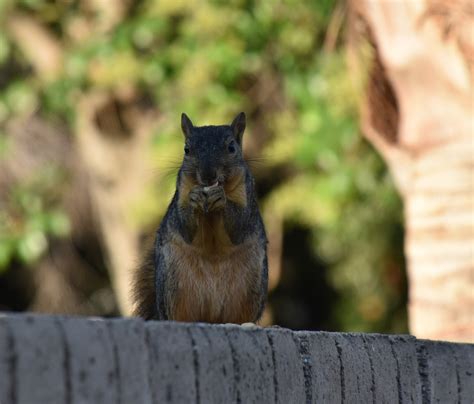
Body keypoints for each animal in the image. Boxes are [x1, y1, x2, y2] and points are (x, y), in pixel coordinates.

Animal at [131, 111, 268, 322]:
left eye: (231, 147)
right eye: (186, 149)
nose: (208, 175)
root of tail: (211, 318)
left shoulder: (247, 197)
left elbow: (240, 226)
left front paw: (222, 198)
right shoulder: (182, 192)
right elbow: (183, 225)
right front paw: (195, 198)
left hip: (252, 284)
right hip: (174, 283)